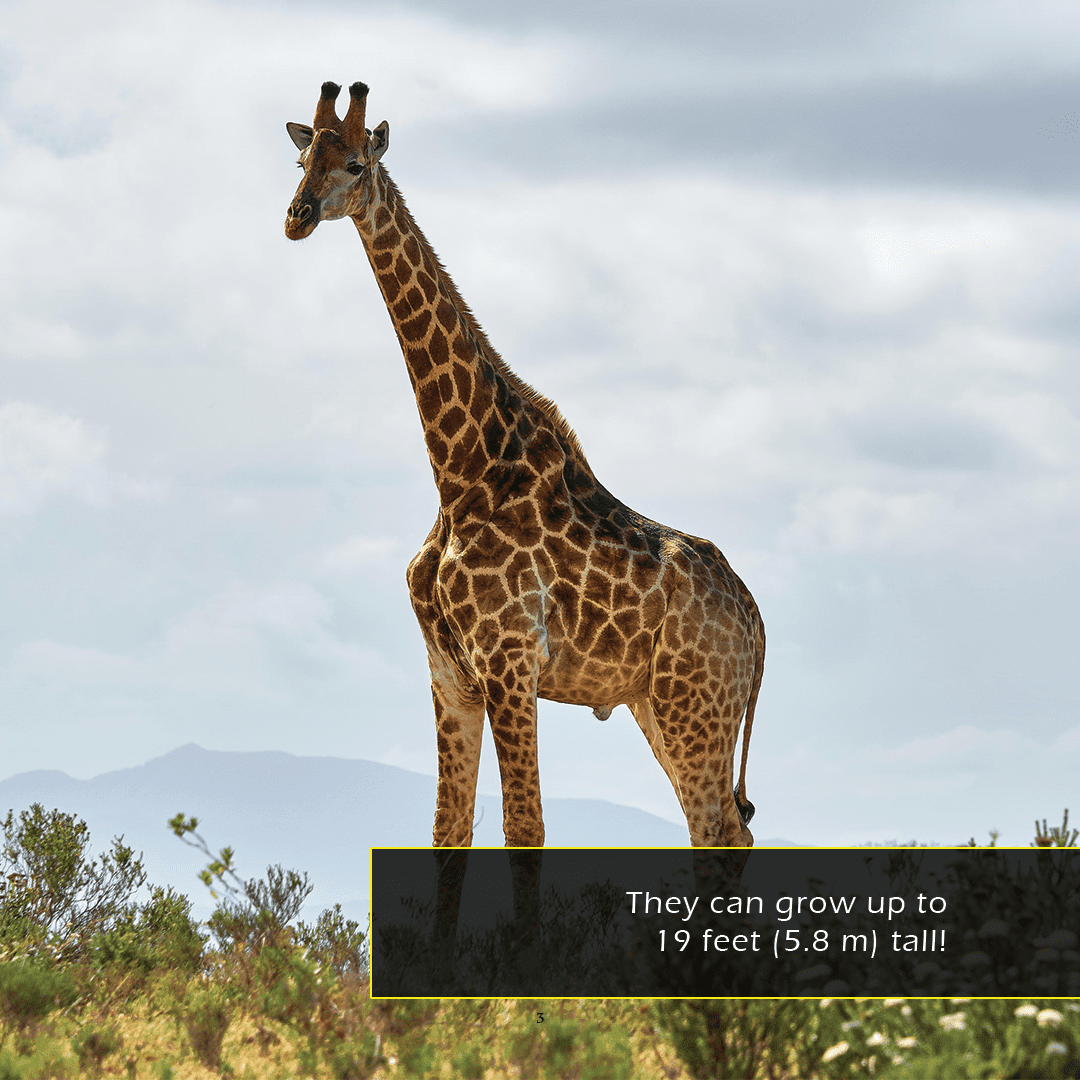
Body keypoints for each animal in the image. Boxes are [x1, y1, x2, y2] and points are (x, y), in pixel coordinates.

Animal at [285, 80, 764, 850]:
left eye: (356, 164)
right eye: (302, 159)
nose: (297, 217)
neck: (458, 468)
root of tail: (753, 615)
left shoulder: (508, 659)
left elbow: (525, 826)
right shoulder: (448, 672)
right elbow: (449, 829)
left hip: (696, 702)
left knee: (718, 827)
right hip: (659, 705)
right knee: (723, 827)